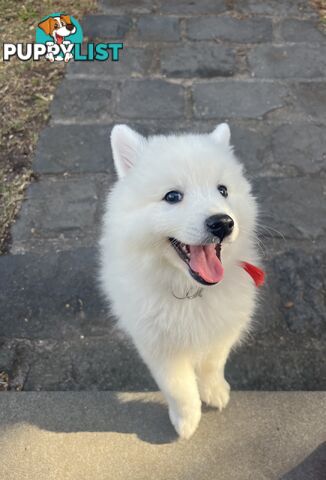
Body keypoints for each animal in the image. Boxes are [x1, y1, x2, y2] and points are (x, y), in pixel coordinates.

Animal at [100, 123, 264, 438]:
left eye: (223, 190)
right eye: (173, 196)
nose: (222, 223)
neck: (189, 291)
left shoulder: (222, 329)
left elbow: (213, 364)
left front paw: (215, 392)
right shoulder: (159, 346)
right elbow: (178, 388)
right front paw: (187, 421)